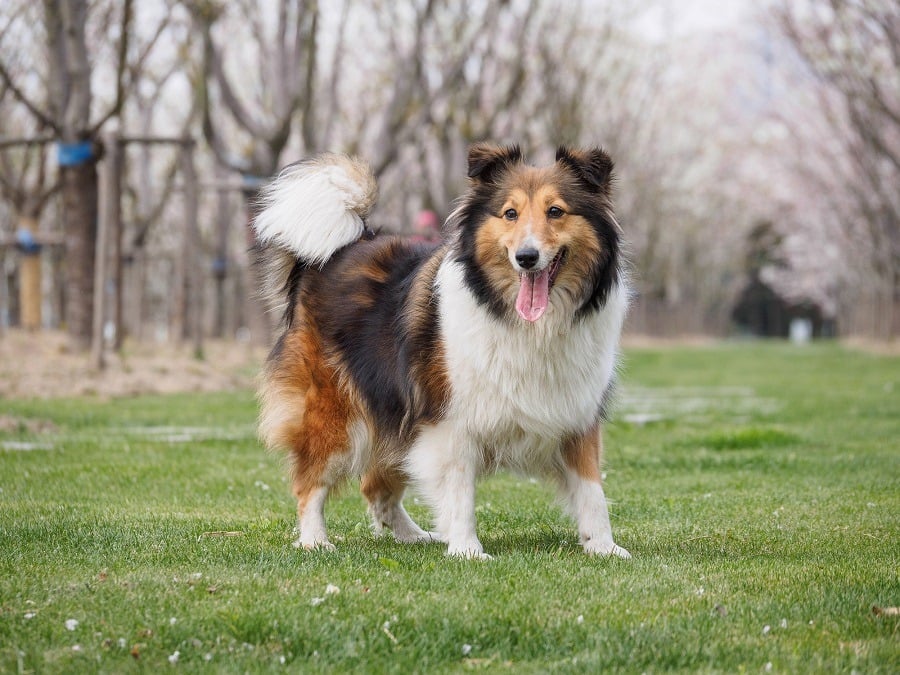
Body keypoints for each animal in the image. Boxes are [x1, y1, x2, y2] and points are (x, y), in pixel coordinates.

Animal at [253, 144, 632, 560]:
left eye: (556, 211)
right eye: (510, 213)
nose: (527, 257)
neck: (525, 321)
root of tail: (337, 250)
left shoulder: (576, 412)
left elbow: (592, 489)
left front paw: (604, 547)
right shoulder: (449, 421)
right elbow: (459, 490)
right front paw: (468, 550)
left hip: (397, 415)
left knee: (375, 487)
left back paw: (415, 536)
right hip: (336, 413)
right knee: (310, 481)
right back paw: (315, 540)